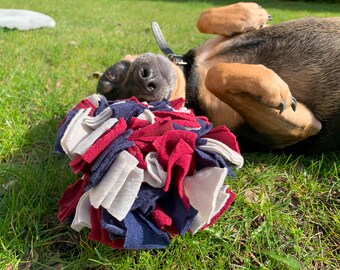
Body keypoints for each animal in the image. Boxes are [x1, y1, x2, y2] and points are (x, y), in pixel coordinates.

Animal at [96, 2, 340, 154]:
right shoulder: (301, 128)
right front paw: (271, 85)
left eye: (111, 74)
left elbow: (203, 18)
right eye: (140, 104)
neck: (191, 76)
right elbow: (216, 75)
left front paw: (251, 13)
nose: (145, 81)